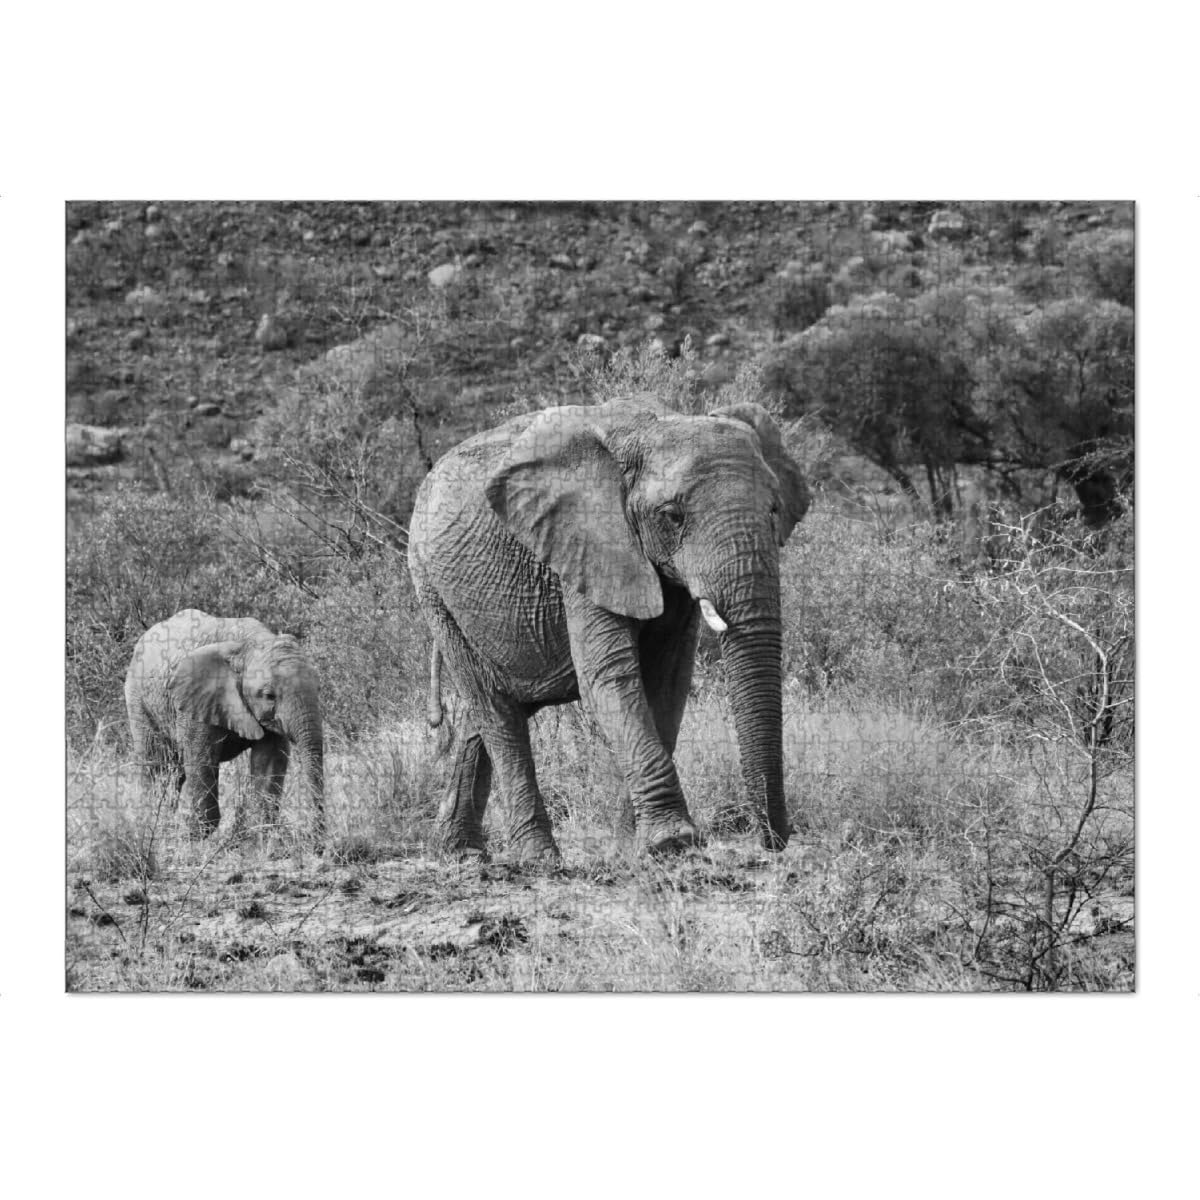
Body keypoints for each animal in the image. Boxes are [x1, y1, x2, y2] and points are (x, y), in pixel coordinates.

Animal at [124, 609, 325, 841]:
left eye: (318, 688)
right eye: (269, 696)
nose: (314, 838)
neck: (252, 644)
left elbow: (270, 760)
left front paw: (260, 832)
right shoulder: (196, 699)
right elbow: (202, 758)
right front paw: (194, 835)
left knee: (175, 772)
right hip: (139, 699)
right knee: (158, 765)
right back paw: (152, 826)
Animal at [407, 395, 810, 861]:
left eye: (774, 509)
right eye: (672, 516)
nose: (775, 841)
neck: (653, 426)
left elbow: (667, 682)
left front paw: (630, 849)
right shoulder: (587, 541)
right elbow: (609, 675)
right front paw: (672, 843)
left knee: (486, 714)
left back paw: (462, 853)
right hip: (433, 589)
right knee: (496, 712)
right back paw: (538, 859)